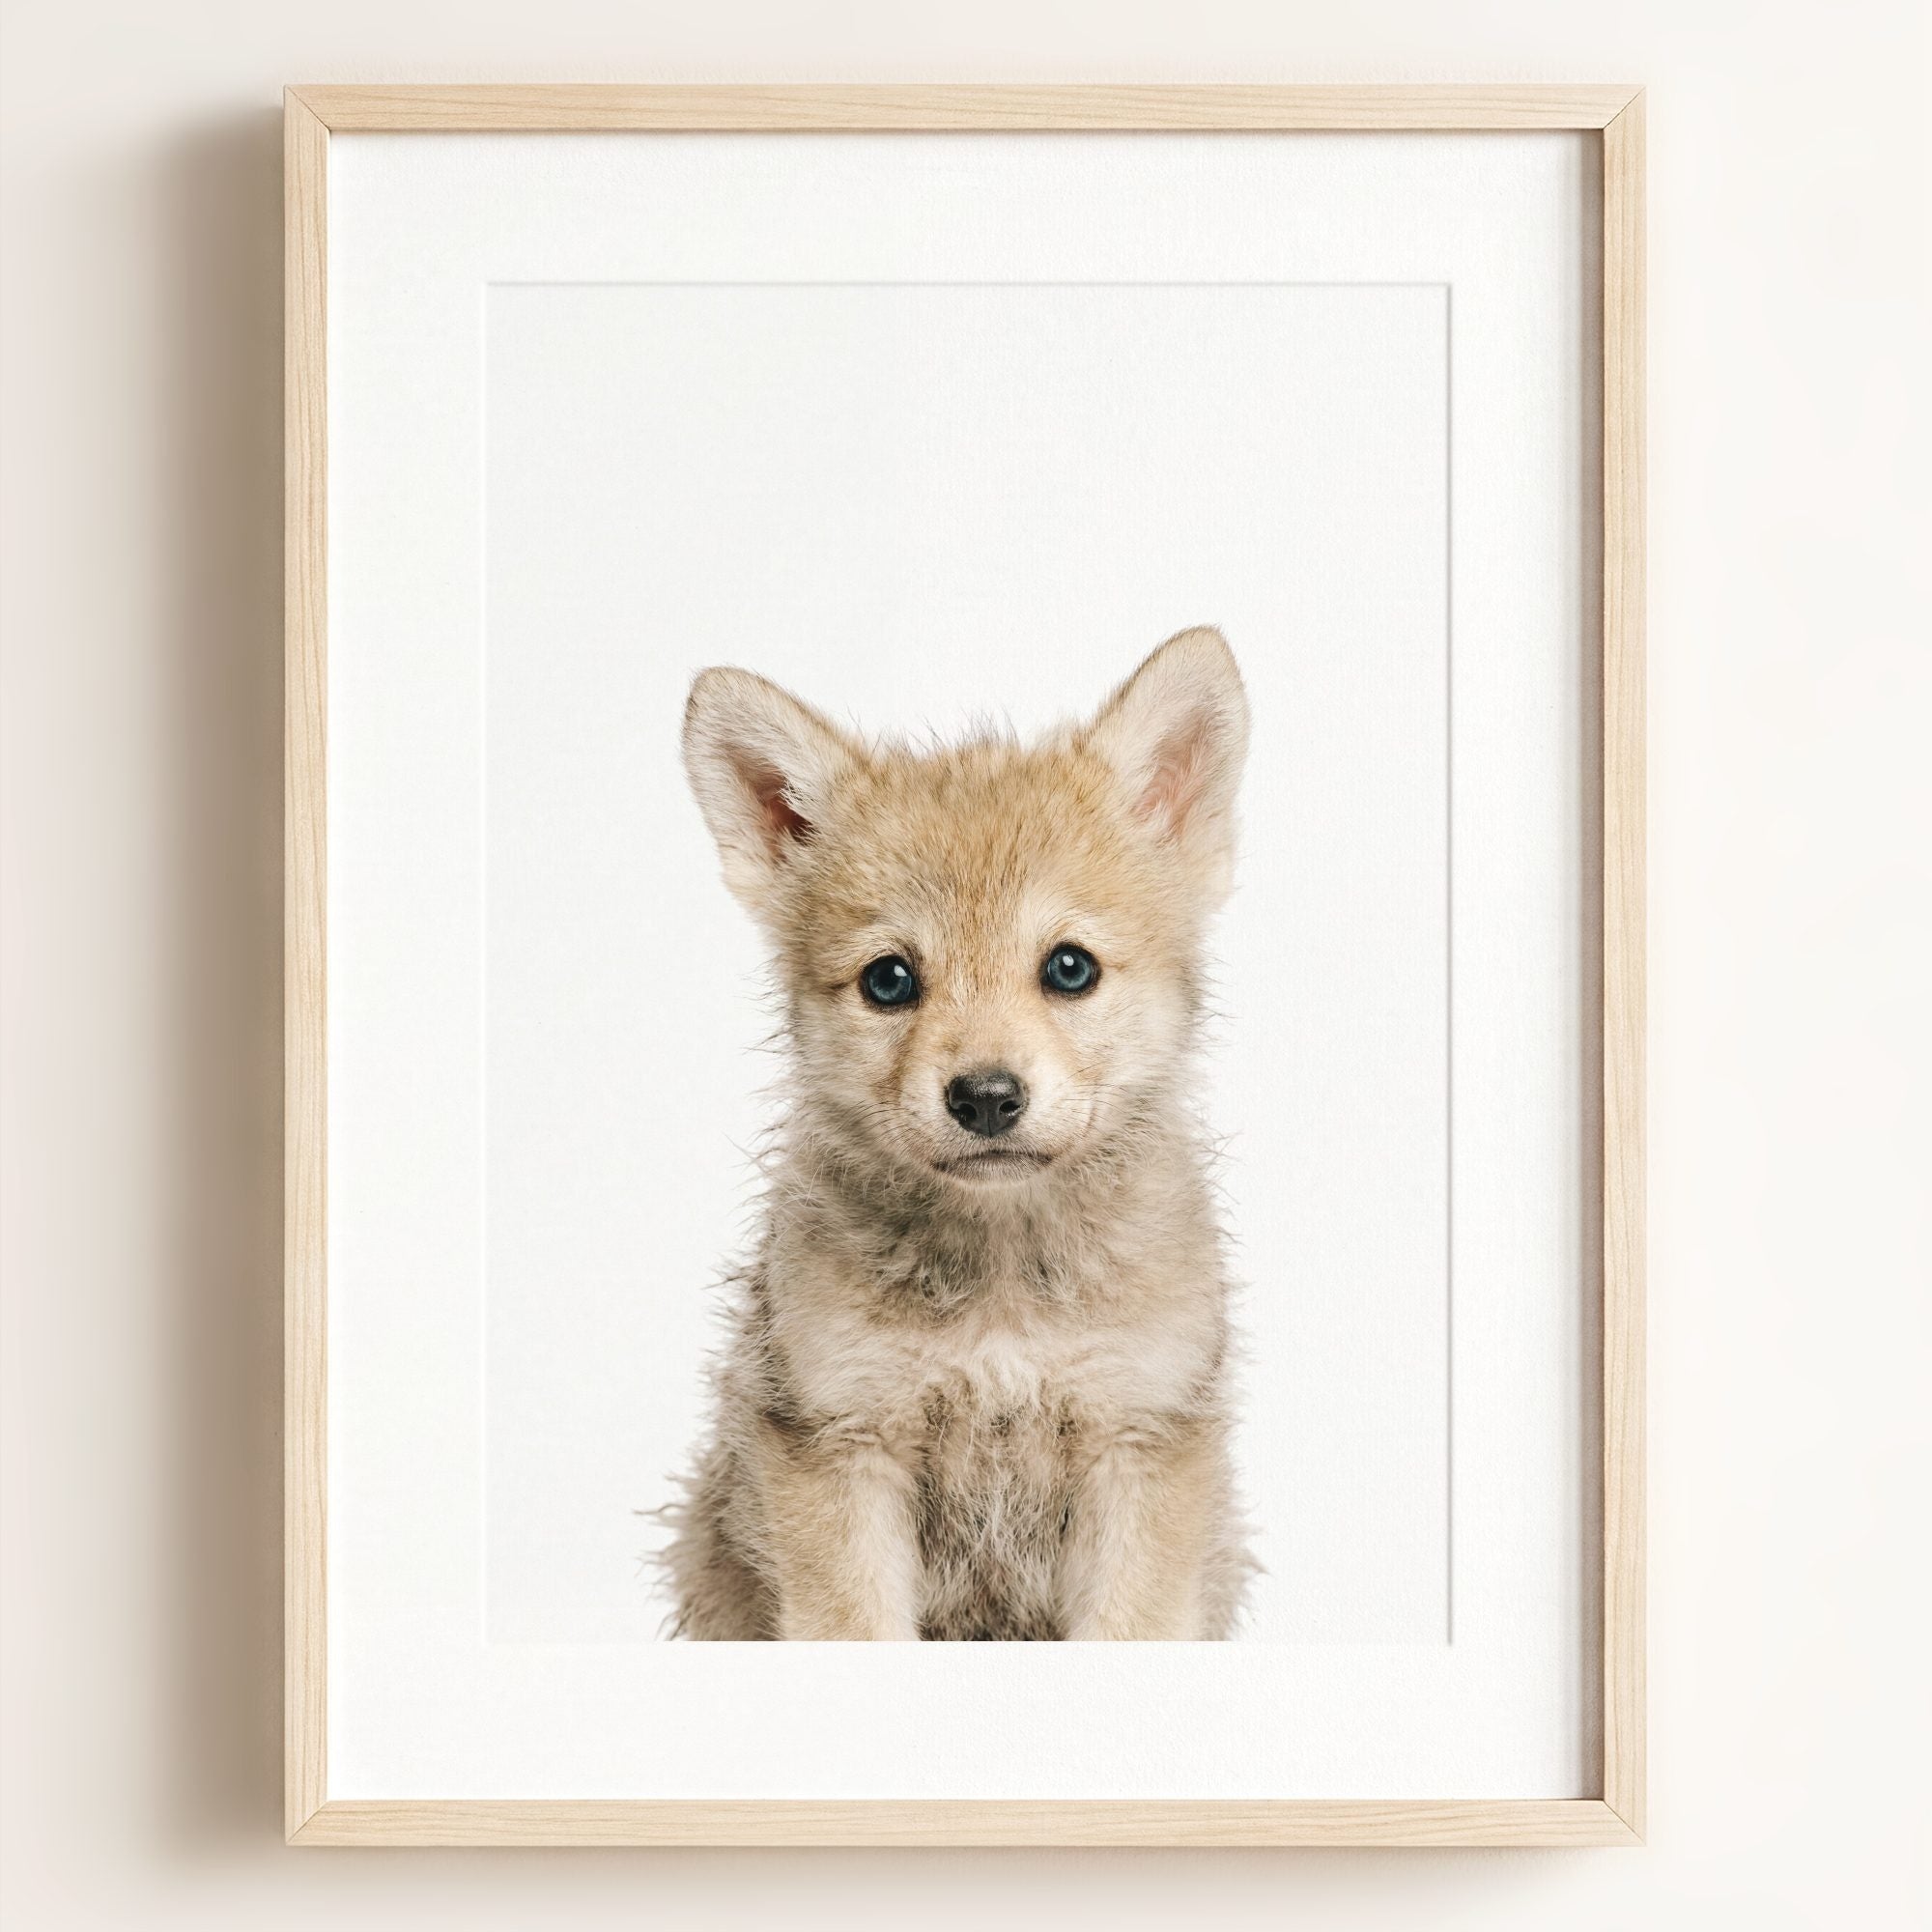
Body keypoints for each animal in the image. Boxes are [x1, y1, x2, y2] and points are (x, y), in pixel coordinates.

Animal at [661, 626, 1254, 1639]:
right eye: (889, 980)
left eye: (1069, 968)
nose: (984, 1098)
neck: (1002, 1296)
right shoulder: (841, 1445)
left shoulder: (1139, 1442)